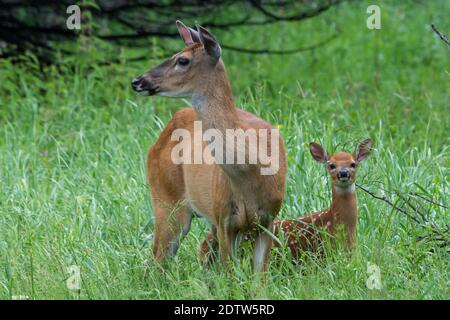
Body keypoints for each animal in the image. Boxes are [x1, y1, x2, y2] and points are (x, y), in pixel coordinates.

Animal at [130, 21, 286, 272]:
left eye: (182, 60)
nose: (137, 81)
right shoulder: (224, 219)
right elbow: (230, 274)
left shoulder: (268, 219)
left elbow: (258, 277)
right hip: (166, 200)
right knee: (156, 261)